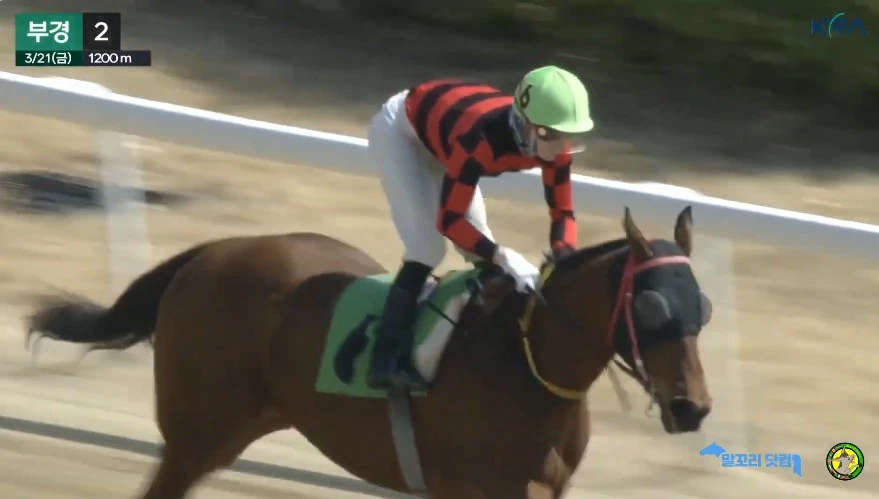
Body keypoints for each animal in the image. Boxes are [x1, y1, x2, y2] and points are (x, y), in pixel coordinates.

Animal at [25, 205, 714, 499]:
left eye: (702, 307)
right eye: (652, 308)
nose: (693, 408)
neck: (529, 366)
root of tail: (212, 250)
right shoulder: (471, 489)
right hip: (196, 434)